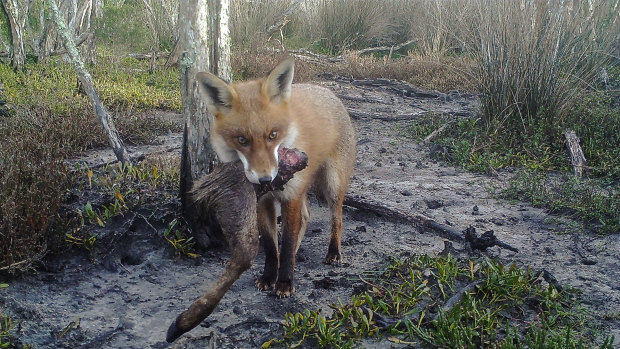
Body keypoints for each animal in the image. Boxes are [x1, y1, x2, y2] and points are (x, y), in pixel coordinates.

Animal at [196, 57, 356, 296]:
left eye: (273, 135)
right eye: (242, 140)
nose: (265, 180)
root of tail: (328, 91)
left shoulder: (291, 196)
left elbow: (287, 242)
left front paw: (285, 282)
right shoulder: (264, 201)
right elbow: (272, 245)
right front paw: (270, 276)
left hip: (333, 184)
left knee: (337, 218)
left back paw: (334, 252)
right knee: (307, 216)